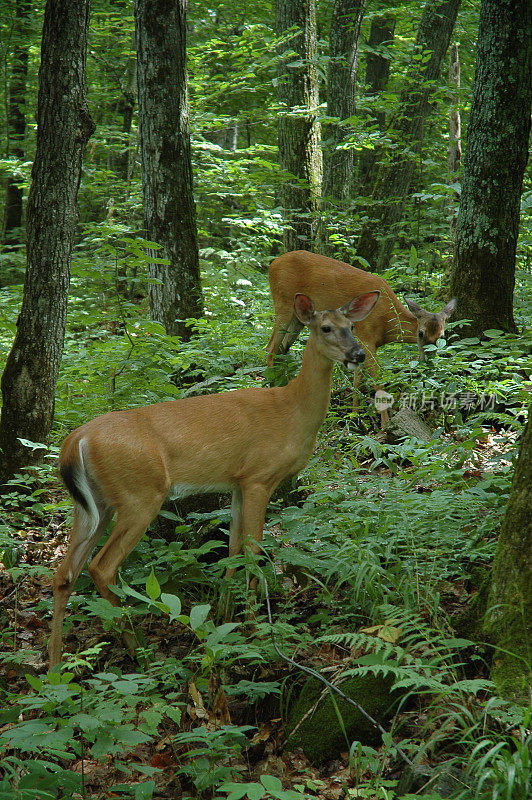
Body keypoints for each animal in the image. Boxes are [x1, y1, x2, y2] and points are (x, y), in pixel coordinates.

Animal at [50, 290, 380, 664]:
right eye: (326, 328)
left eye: (351, 325)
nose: (358, 354)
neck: (292, 411)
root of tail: (75, 442)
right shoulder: (259, 476)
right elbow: (253, 549)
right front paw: (253, 627)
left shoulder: (237, 481)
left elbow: (233, 546)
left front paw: (225, 616)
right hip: (140, 494)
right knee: (100, 568)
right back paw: (141, 651)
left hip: (94, 504)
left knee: (64, 574)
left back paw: (55, 665)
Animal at [266, 250, 458, 428]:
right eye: (420, 333)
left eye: (442, 336)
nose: (427, 361)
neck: (386, 323)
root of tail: (273, 263)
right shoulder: (367, 339)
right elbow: (377, 381)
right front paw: (385, 424)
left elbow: (358, 379)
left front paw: (355, 415)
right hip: (283, 303)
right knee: (270, 347)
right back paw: (270, 384)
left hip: (298, 319)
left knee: (283, 347)